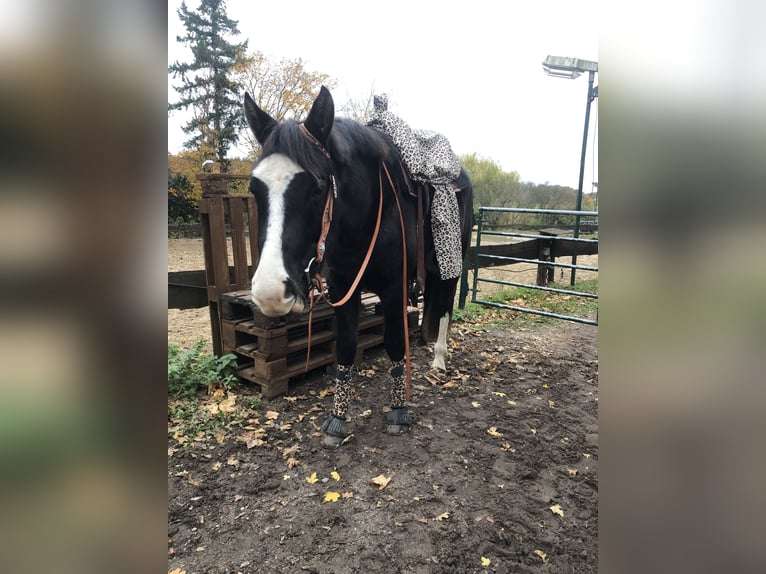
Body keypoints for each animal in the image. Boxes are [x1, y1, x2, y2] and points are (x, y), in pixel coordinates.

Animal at [244, 88, 474, 448]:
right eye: (254, 188)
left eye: (318, 186)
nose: (270, 294)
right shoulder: (343, 289)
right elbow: (345, 348)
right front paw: (337, 419)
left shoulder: (394, 289)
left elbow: (395, 344)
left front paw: (398, 411)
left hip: (451, 260)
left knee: (446, 305)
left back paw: (438, 358)